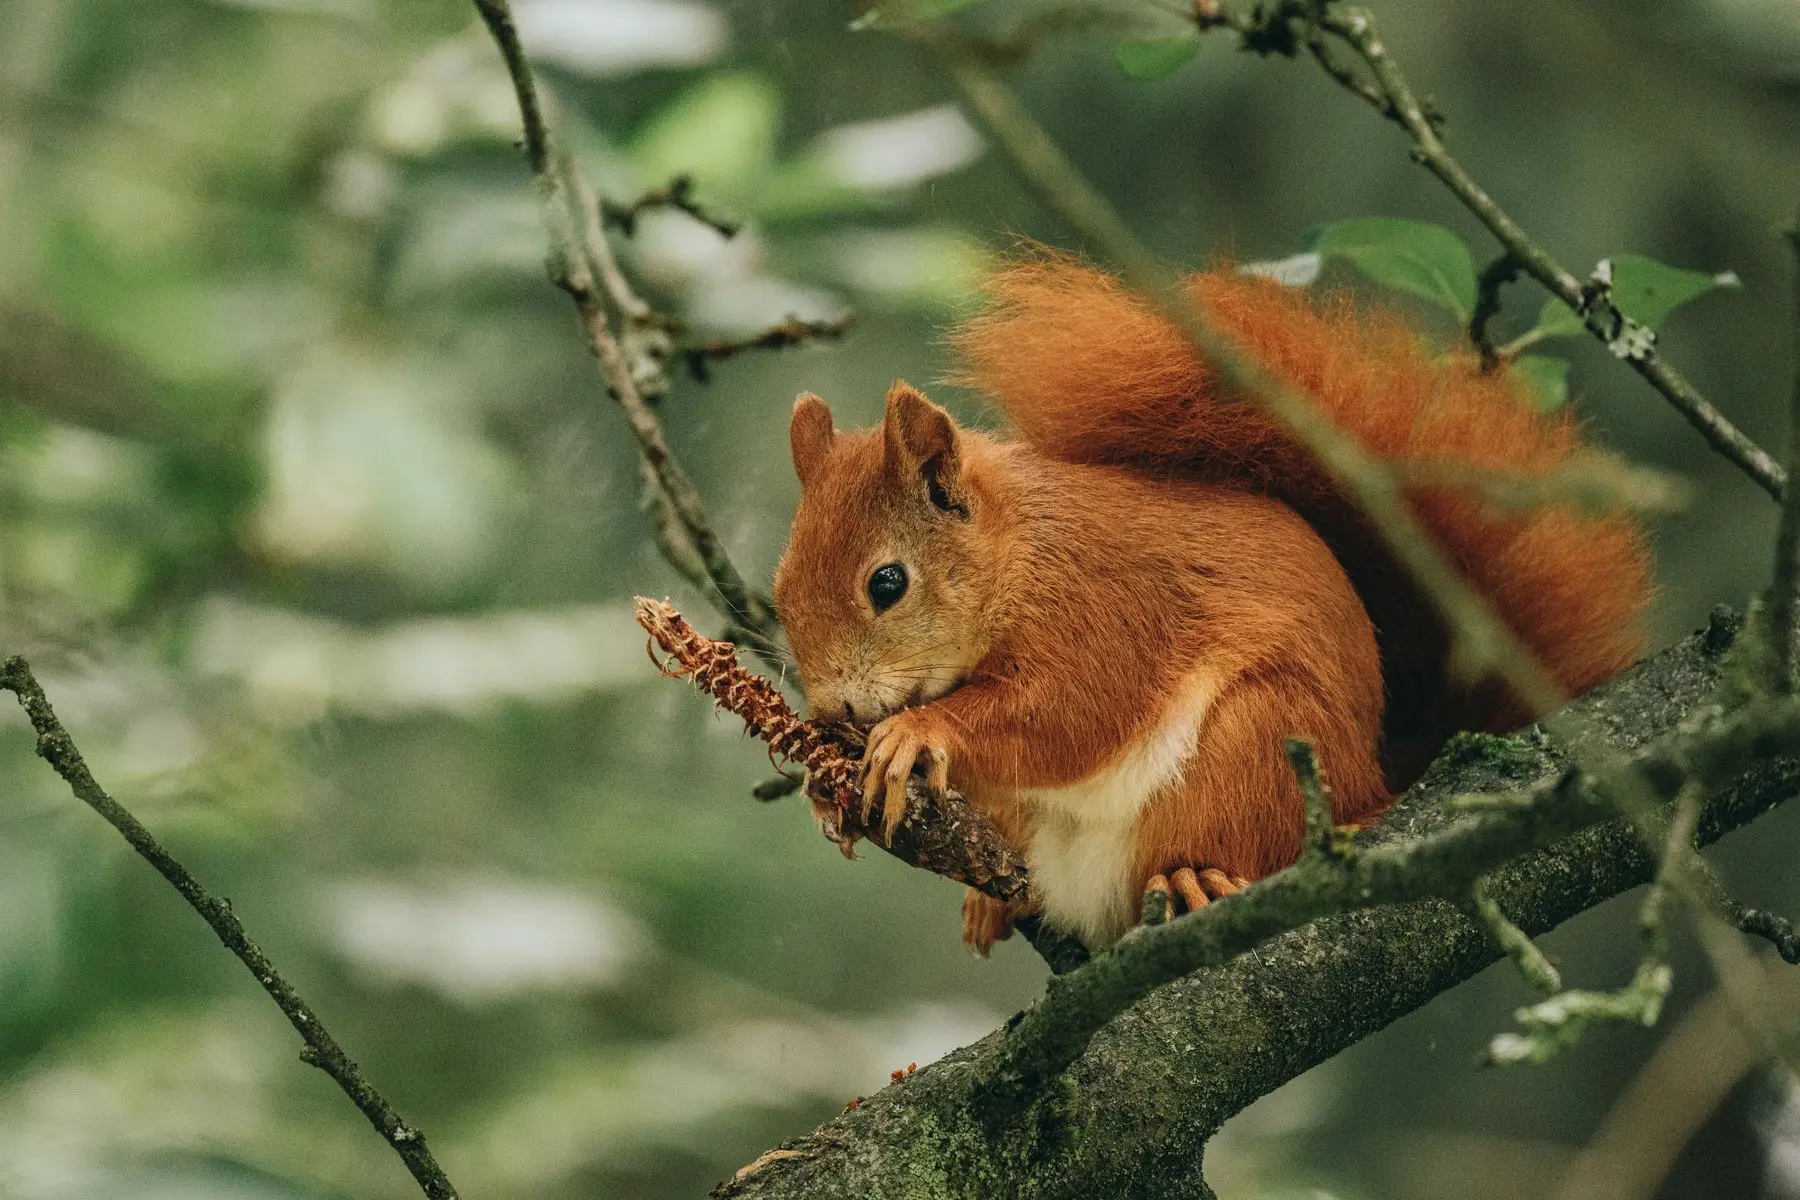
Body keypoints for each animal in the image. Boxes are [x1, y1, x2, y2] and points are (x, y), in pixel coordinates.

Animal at [772, 255, 1651, 953]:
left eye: (887, 584)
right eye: (779, 590)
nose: (832, 707)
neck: (1019, 558)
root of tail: (1374, 781)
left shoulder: (1107, 611)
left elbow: (1069, 713)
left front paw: (917, 731)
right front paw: (826, 781)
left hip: (1257, 746)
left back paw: (1198, 876)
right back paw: (991, 901)